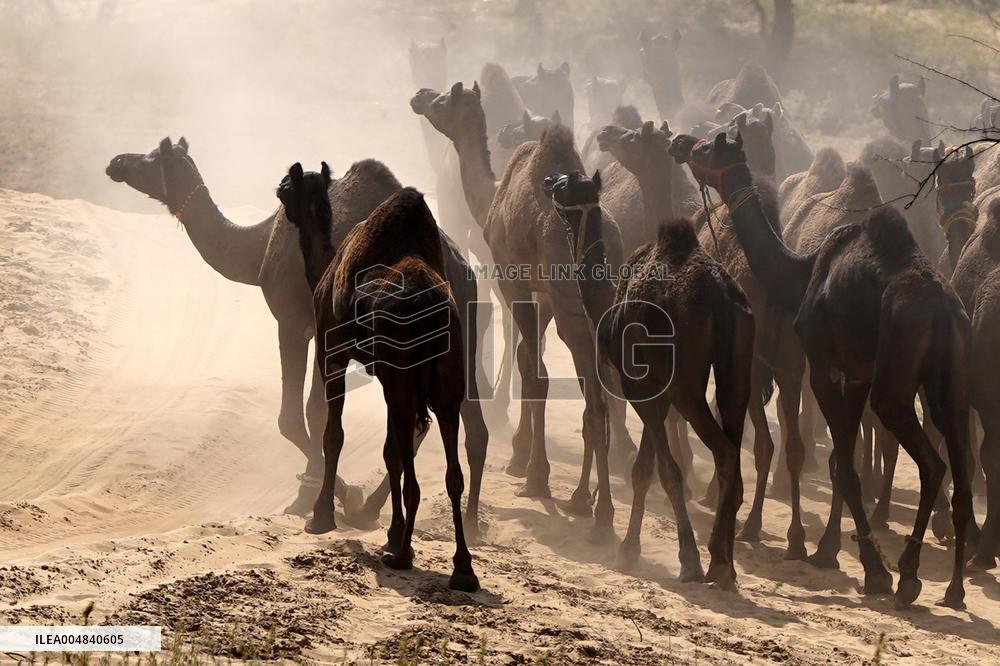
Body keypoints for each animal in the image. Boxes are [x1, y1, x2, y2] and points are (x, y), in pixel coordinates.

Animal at [105, 138, 488, 534]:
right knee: (464, 419)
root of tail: (460, 269)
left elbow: (293, 418)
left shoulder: (292, 322)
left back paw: (380, 508)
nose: (117, 162)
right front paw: (313, 498)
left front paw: (334, 497)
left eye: (152, 157)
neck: (258, 246)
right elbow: (317, 413)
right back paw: (459, 520)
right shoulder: (321, 333)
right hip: (459, 336)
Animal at [278, 166, 479, 591]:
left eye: (290, 183)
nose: (279, 186)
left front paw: (320, 517)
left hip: (403, 373)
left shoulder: (333, 352)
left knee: (415, 460)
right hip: (445, 379)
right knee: (451, 468)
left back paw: (403, 555)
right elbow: (390, 452)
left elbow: (333, 434)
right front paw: (391, 532)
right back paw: (463, 569)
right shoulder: (385, 376)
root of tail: (431, 307)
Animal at [412, 82, 637, 532]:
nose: (420, 95)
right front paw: (522, 458)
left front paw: (535, 475)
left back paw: (597, 511)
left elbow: (535, 372)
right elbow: (528, 359)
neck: (493, 195)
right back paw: (590, 497)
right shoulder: (544, 294)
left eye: (444, 99)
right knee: (604, 387)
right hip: (598, 300)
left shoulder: (512, 279)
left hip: (572, 306)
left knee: (595, 399)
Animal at [545, 170, 753, 588]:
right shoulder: (655, 391)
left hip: (687, 384)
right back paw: (723, 560)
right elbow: (643, 469)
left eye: (567, 184)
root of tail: (723, 299)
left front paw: (680, 559)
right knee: (734, 445)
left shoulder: (642, 386)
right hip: (737, 373)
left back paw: (713, 564)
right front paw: (629, 546)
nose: (548, 180)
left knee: (723, 451)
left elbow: (665, 471)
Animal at [671, 131, 975, 609]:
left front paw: (869, 570)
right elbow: (840, 460)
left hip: (896, 381)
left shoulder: (824, 366)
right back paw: (955, 589)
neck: (801, 271)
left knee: (931, 463)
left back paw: (908, 574)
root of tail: (944, 310)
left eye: (709, 148)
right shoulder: (857, 373)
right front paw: (830, 548)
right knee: (960, 468)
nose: (681, 142)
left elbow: (845, 466)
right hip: (951, 382)